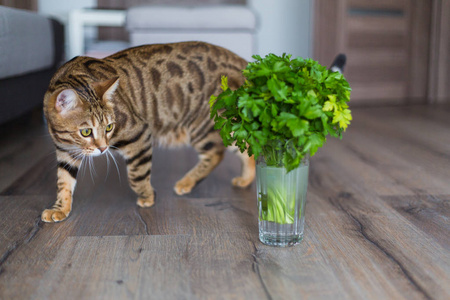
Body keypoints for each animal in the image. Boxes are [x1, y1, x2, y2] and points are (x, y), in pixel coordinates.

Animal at [43, 40, 255, 223]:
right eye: (86, 132)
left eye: (109, 127)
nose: (103, 149)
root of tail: (241, 63)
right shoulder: (65, 152)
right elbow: (63, 182)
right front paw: (60, 209)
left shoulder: (138, 134)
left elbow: (137, 174)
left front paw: (147, 196)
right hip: (228, 126)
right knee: (245, 148)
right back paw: (246, 179)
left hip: (203, 123)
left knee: (216, 153)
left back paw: (186, 183)